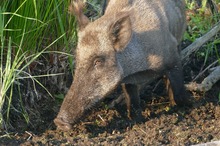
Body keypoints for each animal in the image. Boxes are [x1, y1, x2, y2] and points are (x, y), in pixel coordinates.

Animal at [53, 0, 191, 131]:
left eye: (98, 61)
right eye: (78, 58)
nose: (59, 121)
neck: (139, 70)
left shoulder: (172, 57)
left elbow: (178, 90)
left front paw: (183, 108)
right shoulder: (128, 79)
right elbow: (132, 101)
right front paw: (135, 120)